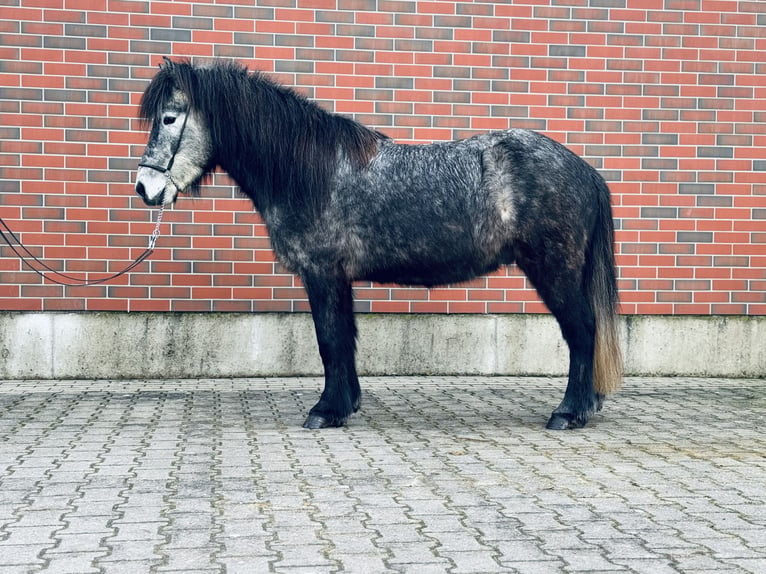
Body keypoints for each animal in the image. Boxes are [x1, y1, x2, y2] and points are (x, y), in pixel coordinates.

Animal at [134, 59, 624, 432]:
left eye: (169, 118)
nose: (144, 188)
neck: (312, 172)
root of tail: (584, 170)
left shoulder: (322, 273)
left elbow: (329, 339)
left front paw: (325, 411)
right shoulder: (338, 278)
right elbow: (344, 339)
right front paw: (345, 403)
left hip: (554, 269)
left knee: (583, 331)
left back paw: (568, 413)